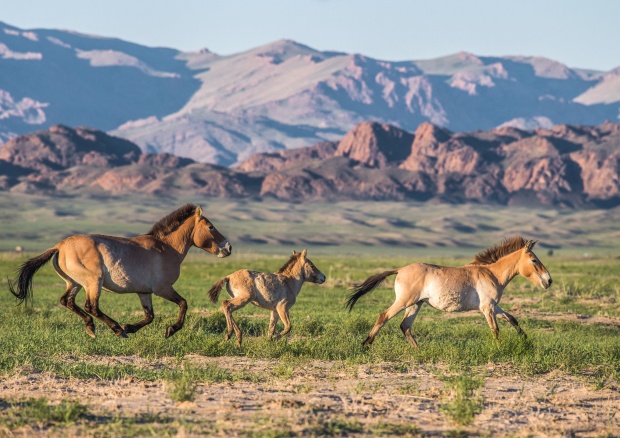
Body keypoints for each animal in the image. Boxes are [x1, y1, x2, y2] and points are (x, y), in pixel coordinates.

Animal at [8, 204, 231, 338]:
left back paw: (92, 328)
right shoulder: (162, 288)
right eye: (211, 227)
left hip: (75, 283)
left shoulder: (144, 292)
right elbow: (183, 304)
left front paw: (130, 327)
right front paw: (170, 330)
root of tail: (59, 246)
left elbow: (150, 316)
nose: (228, 248)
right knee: (91, 307)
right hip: (93, 282)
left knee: (67, 301)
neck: (166, 248)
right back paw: (114, 329)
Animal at [346, 236, 556, 350]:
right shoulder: (487, 308)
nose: (549, 280)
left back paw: (420, 350)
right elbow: (495, 329)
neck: (491, 274)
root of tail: (399, 270)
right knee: (383, 316)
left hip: (415, 304)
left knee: (405, 326)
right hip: (405, 302)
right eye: (534, 260)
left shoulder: (493, 306)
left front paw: (527, 343)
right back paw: (366, 344)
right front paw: (499, 349)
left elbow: (513, 320)